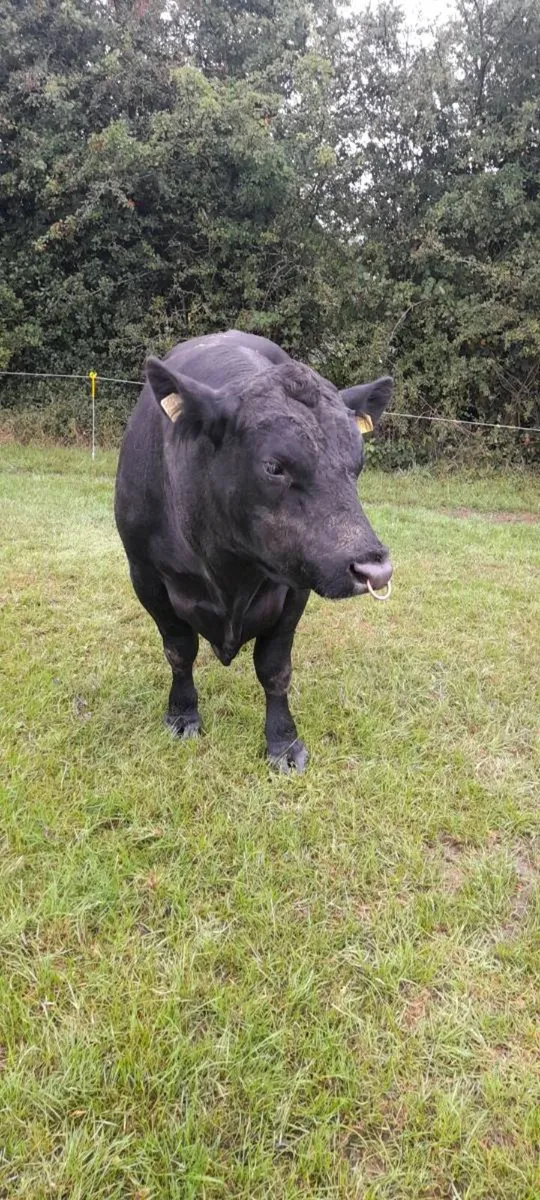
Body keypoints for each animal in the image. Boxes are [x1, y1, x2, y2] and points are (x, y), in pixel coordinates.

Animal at [114, 331, 393, 772]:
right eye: (274, 466)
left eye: (358, 462)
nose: (374, 570)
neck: (228, 568)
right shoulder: (145, 574)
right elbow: (179, 649)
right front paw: (182, 714)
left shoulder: (296, 584)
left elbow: (274, 668)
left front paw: (283, 741)